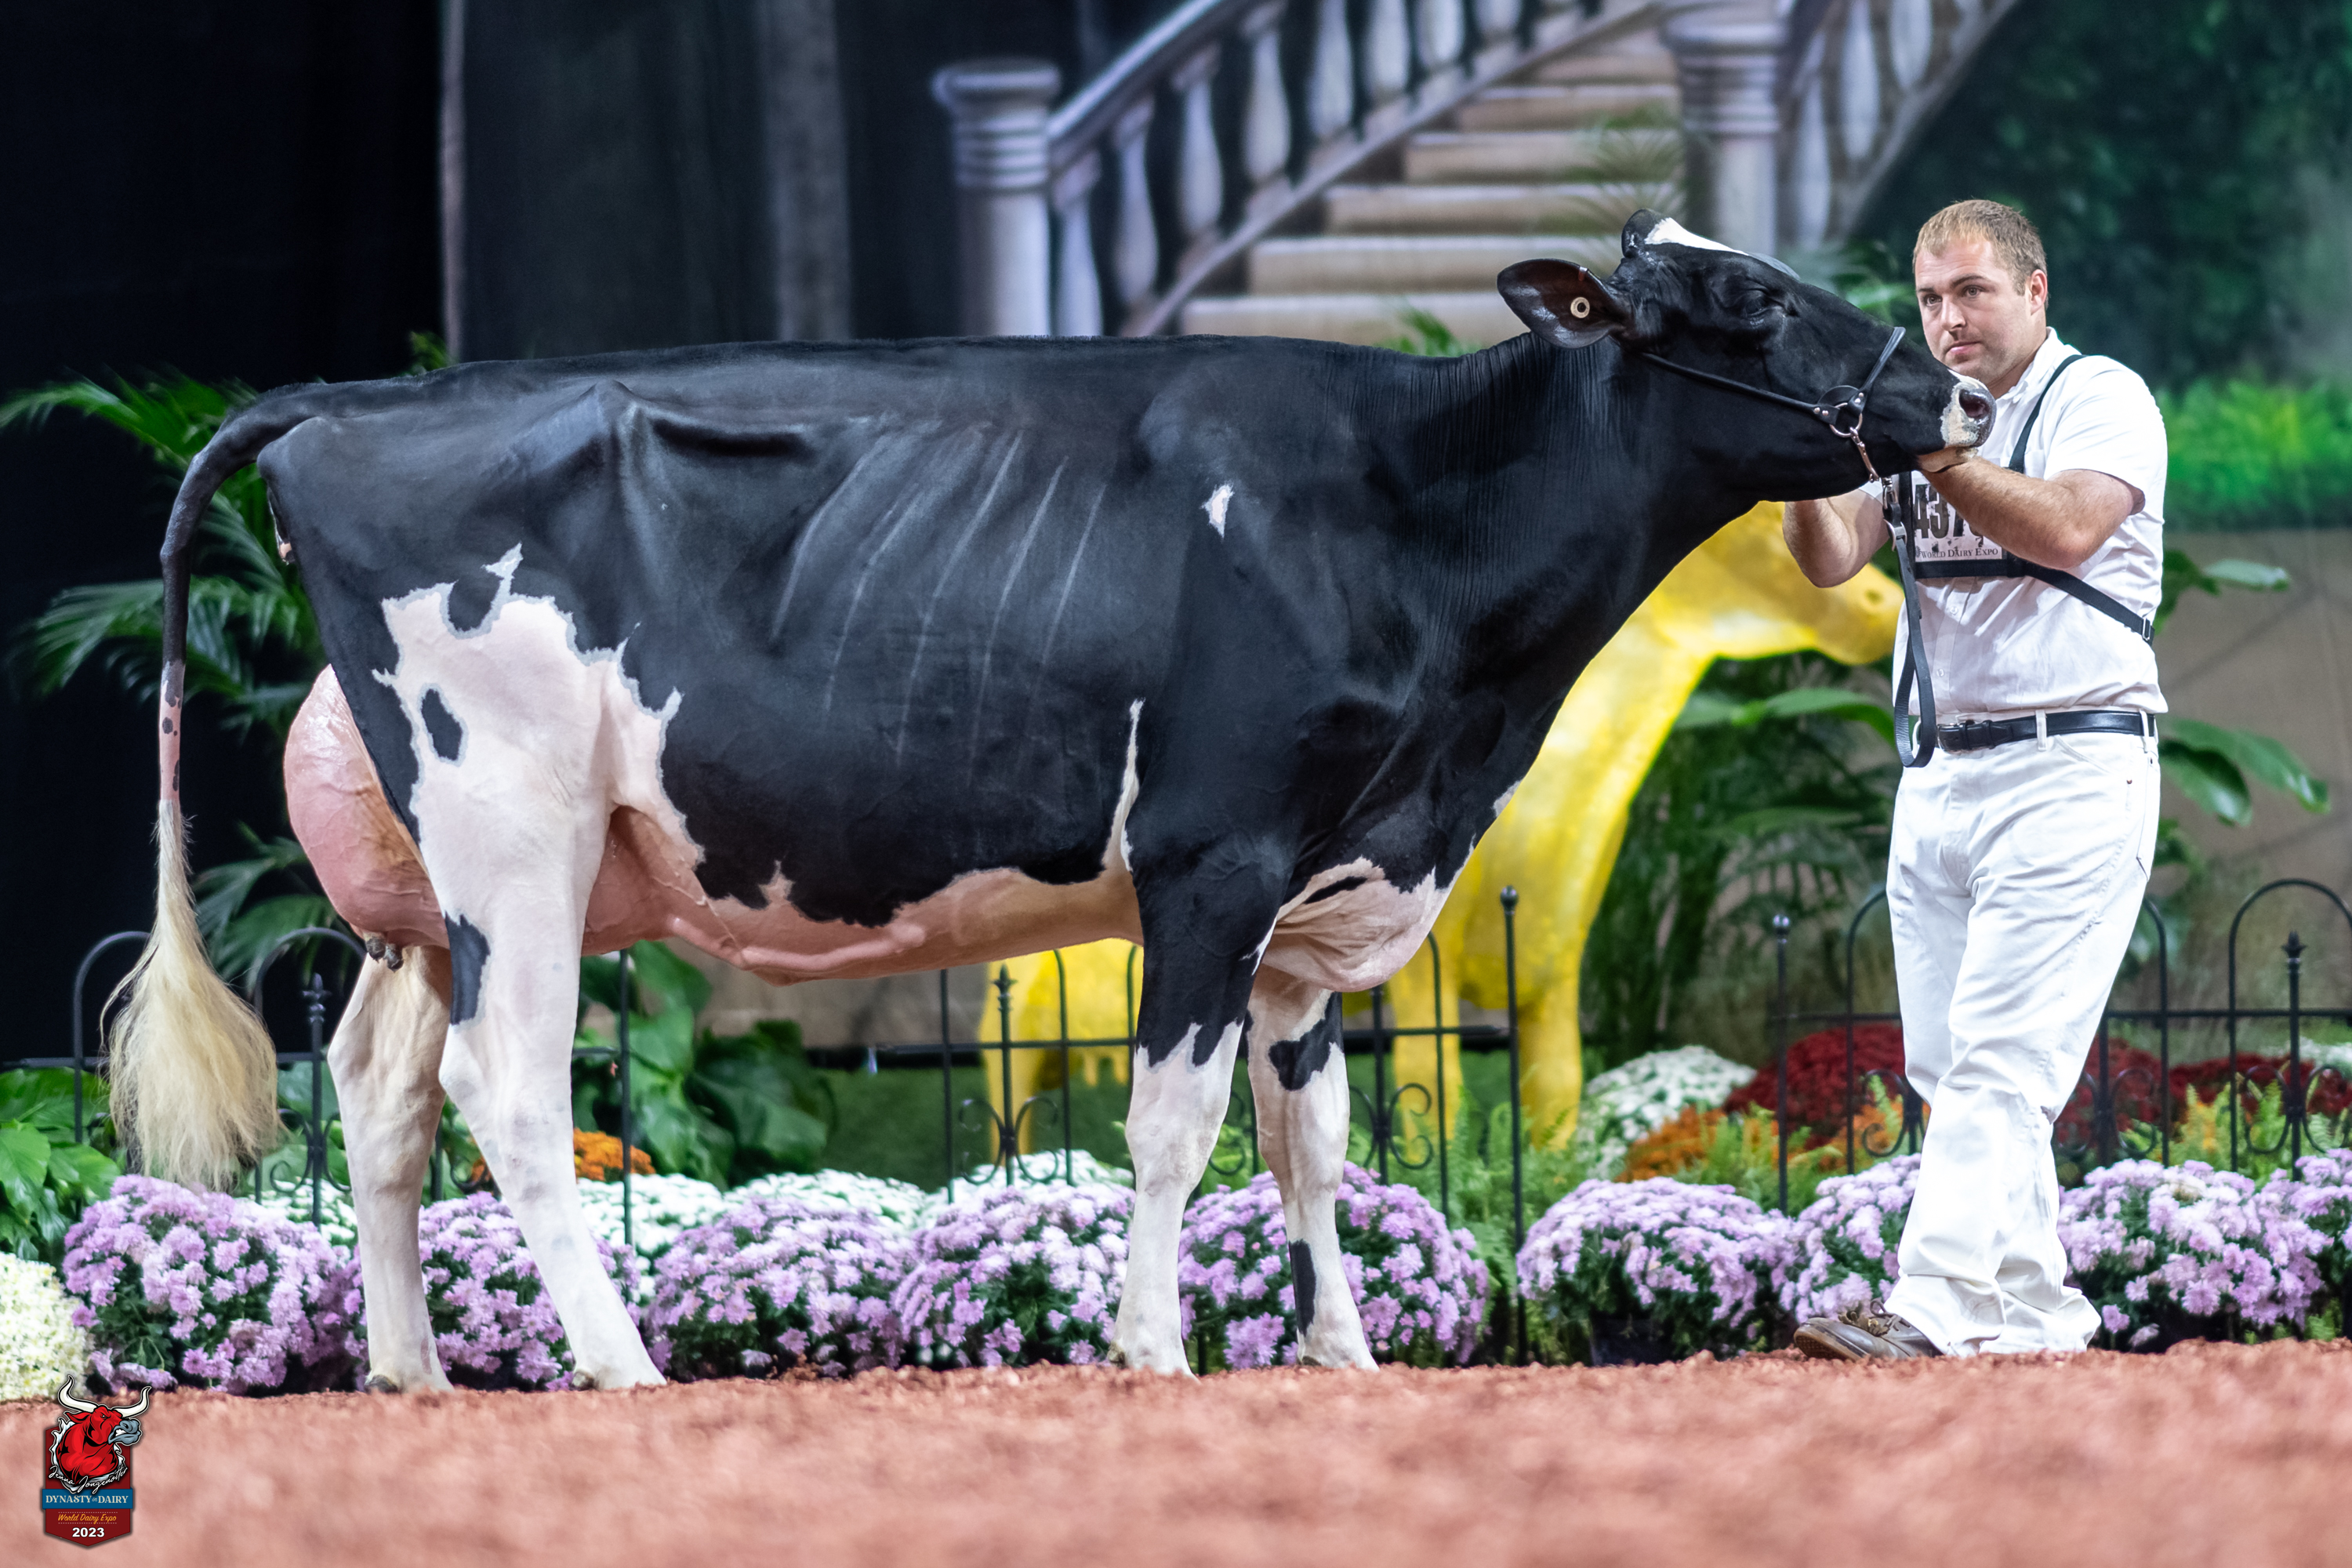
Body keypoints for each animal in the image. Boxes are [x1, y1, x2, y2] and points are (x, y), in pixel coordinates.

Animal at [108, 212, 1991, 1390]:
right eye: (1749, 309)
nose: (1957, 390)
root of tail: (353, 401)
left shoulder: (1322, 900)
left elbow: (1318, 1144)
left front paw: (1347, 1353)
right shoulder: (1214, 856)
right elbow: (1172, 1127)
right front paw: (1154, 1347)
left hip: (420, 899)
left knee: (377, 1096)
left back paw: (412, 1371)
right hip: (516, 841)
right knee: (503, 1090)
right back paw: (620, 1363)